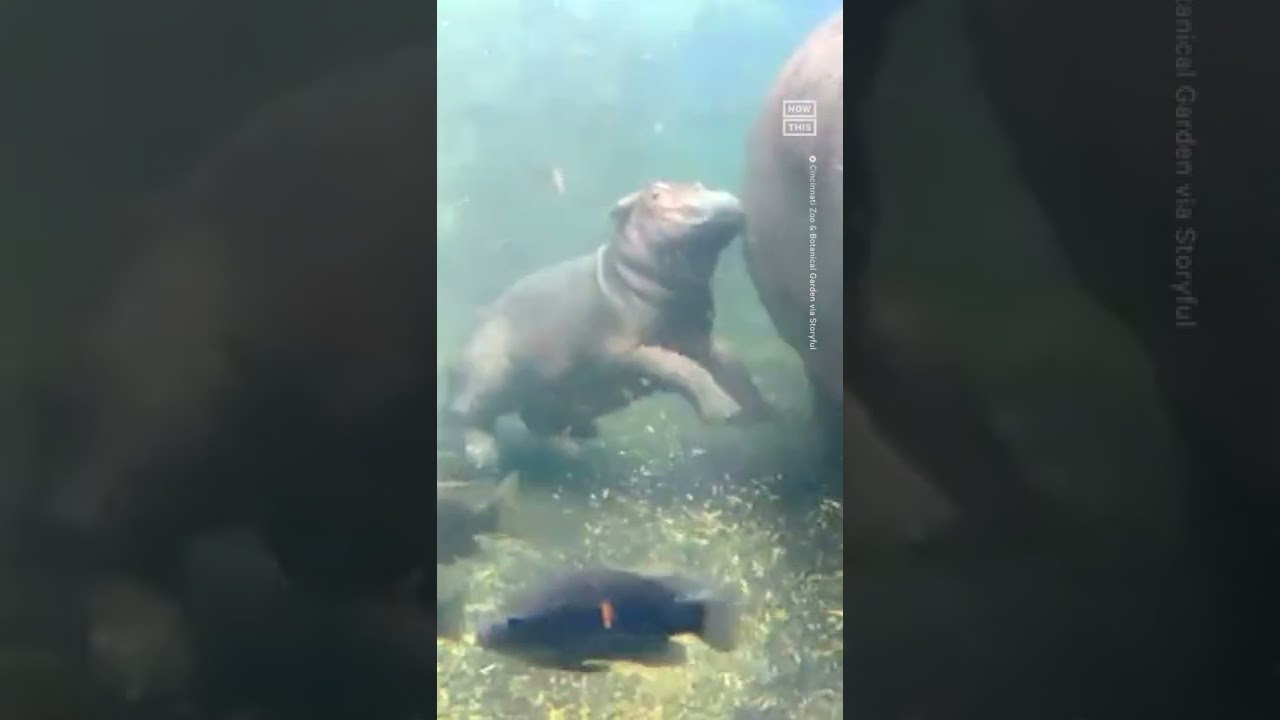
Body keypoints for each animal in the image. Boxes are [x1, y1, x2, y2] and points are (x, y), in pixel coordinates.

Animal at [445, 179, 773, 466]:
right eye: (655, 194)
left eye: (698, 184)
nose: (723, 197)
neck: (624, 273)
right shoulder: (623, 350)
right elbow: (677, 367)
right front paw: (725, 411)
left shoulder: (697, 337)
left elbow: (730, 358)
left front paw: (762, 412)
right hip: (486, 374)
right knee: (466, 416)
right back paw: (485, 458)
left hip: (546, 394)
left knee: (536, 420)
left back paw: (578, 445)